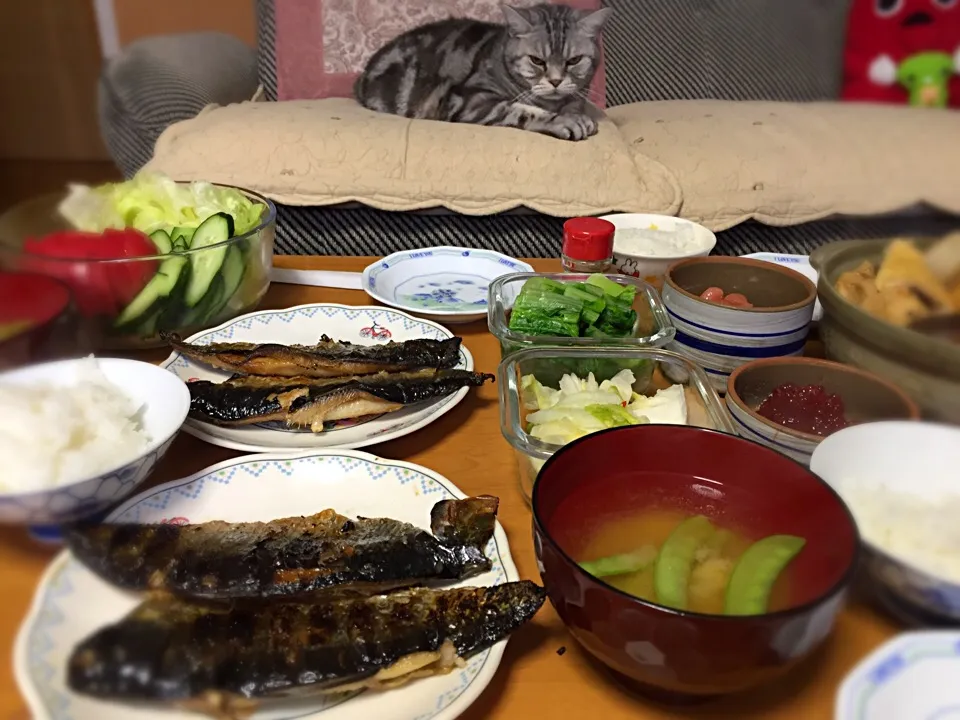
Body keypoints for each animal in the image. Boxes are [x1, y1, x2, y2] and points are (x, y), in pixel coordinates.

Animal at [356, 4, 612, 141]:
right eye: (537, 61)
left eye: (574, 60)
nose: (556, 81)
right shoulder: (471, 101)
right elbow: (521, 110)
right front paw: (564, 120)